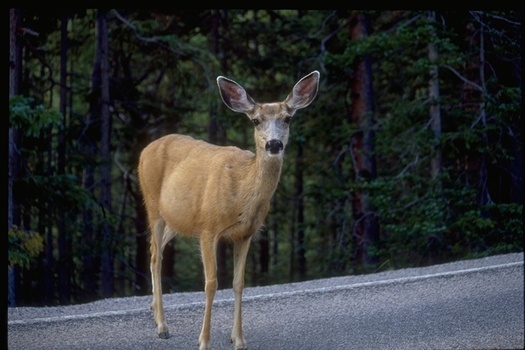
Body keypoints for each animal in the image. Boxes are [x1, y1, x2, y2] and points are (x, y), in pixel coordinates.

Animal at [138, 69, 320, 348]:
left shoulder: (245, 234)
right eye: (256, 121)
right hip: (152, 205)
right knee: (156, 256)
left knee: (153, 250)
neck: (243, 195)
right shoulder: (208, 228)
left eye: (288, 118)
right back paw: (162, 326)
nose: (274, 144)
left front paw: (239, 340)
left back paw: (152, 310)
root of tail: (144, 150)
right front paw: (204, 341)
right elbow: (211, 284)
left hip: (177, 219)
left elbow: (238, 283)